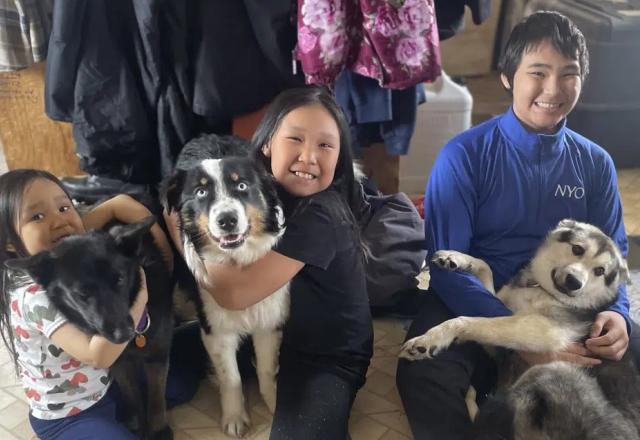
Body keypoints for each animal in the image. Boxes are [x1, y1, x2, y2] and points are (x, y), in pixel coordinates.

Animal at [162, 134, 288, 436]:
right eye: (200, 193)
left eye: (242, 186)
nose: (227, 220)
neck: (236, 263)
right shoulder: (215, 329)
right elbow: (231, 377)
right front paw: (234, 417)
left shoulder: (269, 319)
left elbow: (267, 369)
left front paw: (275, 403)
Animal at [400, 220, 640, 440]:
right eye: (577, 249)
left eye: (600, 271)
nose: (574, 282)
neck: (543, 291)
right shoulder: (500, 321)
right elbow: (485, 268)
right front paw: (456, 258)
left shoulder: (545, 332)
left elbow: (470, 321)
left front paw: (432, 338)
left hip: (550, 371)